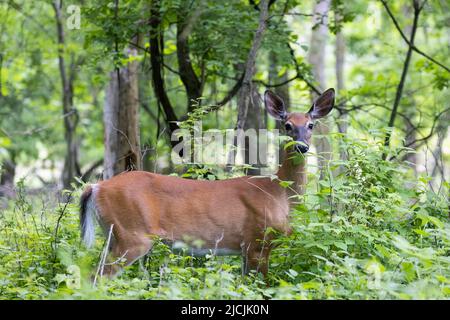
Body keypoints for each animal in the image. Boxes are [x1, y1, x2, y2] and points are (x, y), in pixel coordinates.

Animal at [80, 88, 334, 278]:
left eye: (310, 125)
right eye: (287, 125)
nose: (301, 146)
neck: (279, 194)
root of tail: (96, 187)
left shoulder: (246, 249)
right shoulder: (258, 241)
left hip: (114, 234)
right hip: (132, 235)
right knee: (96, 277)